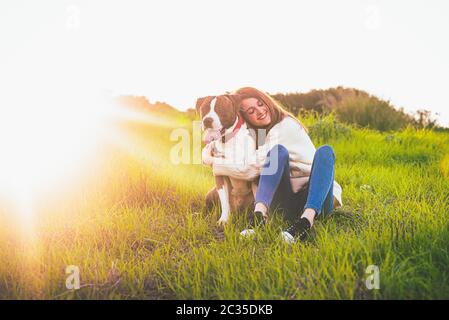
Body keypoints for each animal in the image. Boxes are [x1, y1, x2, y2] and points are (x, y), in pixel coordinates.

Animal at [195, 95, 258, 225]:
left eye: (220, 108)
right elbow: (224, 201)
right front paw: (224, 220)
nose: (207, 120)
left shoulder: (254, 174)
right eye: (204, 108)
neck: (227, 140)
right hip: (211, 193)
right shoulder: (219, 174)